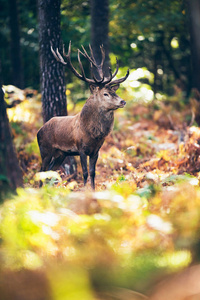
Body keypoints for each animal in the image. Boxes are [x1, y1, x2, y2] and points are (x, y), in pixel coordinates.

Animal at [36, 41, 129, 190]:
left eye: (114, 91)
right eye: (105, 94)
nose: (123, 101)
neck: (93, 135)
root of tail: (39, 130)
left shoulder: (96, 150)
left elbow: (92, 172)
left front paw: (93, 190)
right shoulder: (81, 148)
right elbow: (85, 172)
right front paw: (84, 190)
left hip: (60, 154)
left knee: (50, 172)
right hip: (45, 149)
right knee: (41, 171)